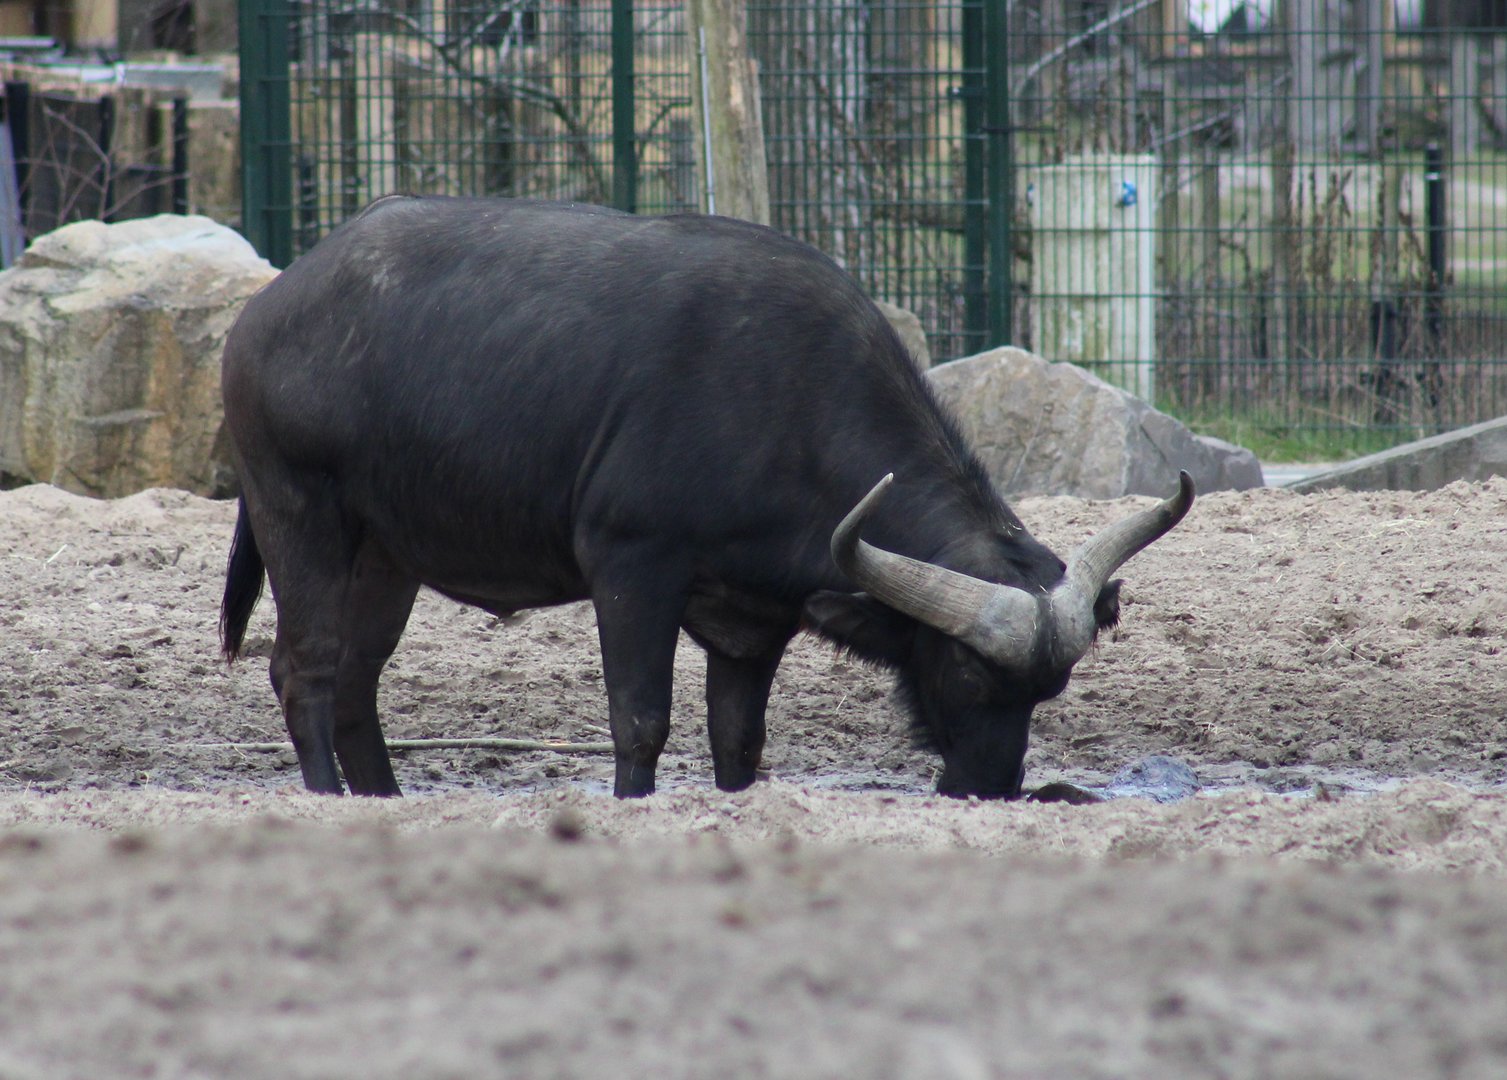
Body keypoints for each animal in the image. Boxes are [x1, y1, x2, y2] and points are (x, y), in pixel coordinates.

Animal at [220, 196, 1192, 798]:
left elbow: (738, 743)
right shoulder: (631, 567)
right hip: (298, 515)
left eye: (1049, 690)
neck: (790, 406)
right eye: (963, 670)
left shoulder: (750, 623)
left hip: (386, 554)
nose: (989, 784)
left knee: (356, 681)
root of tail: (267, 310)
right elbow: (640, 722)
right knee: (302, 669)